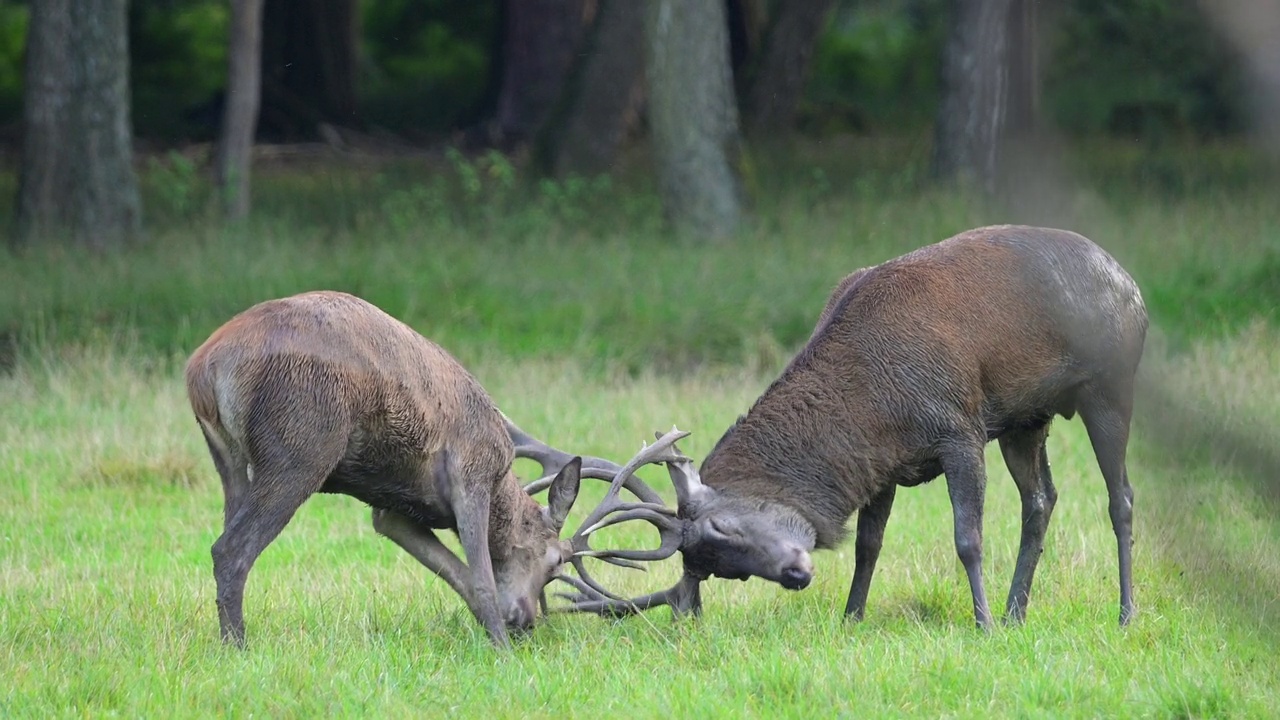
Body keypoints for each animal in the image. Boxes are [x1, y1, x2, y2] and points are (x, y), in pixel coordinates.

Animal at [181, 288, 691, 648]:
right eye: (553, 564)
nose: (525, 621)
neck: (503, 482)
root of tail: (204, 367)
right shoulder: (471, 475)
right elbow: (480, 578)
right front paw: (503, 651)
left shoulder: (392, 511)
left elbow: (458, 576)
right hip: (299, 449)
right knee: (230, 549)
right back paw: (238, 649)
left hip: (229, 459)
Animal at [558, 224, 1152, 627]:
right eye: (730, 571)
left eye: (722, 530)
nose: (796, 575)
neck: (872, 403)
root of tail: (1132, 283)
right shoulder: (883, 464)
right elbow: (869, 545)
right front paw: (851, 617)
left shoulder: (958, 427)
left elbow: (967, 538)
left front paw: (980, 624)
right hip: (1025, 420)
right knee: (1042, 499)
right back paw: (1016, 613)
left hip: (1110, 385)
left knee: (1120, 496)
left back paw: (1122, 613)